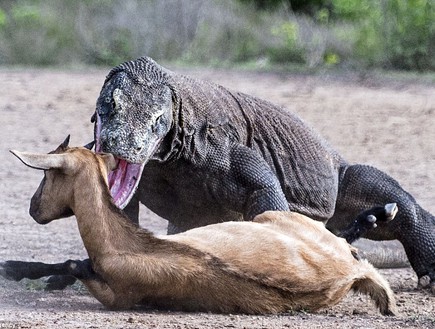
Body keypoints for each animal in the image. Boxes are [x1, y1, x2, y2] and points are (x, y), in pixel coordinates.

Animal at [9, 138, 398, 312]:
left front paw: (10, 267)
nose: (33, 208)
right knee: (345, 237)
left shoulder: (116, 296)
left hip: (268, 216)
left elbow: (72, 263)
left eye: (46, 174)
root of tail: (350, 272)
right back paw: (379, 214)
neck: (123, 245)